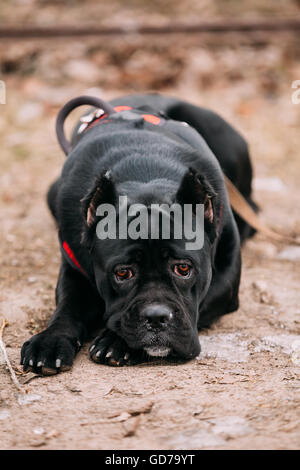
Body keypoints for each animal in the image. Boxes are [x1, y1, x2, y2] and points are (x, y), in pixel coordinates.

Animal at [21, 93, 256, 376]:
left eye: (183, 268)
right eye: (122, 273)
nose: (156, 317)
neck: (145, 176)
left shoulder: (227, 279)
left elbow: (204, 300)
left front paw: (116, 342)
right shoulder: (73, 267)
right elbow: (68, 305)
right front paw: (51, 340)